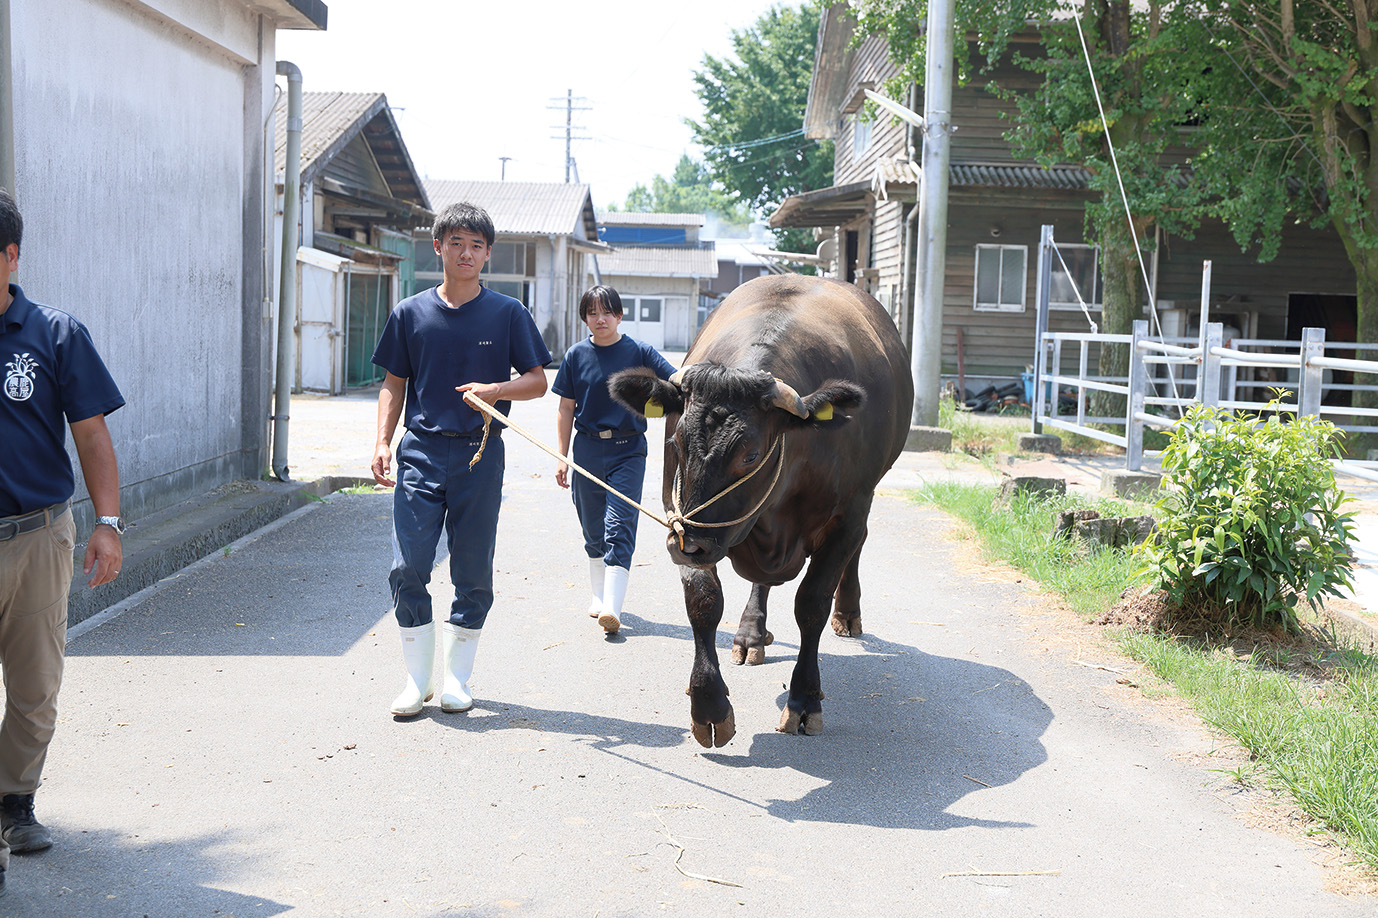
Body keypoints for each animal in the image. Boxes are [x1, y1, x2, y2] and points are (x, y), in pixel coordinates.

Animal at [611, 272, 914, 744]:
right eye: (676, 442)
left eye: (750, 455)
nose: (689, 545)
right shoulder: (679, 515)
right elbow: (702, 600)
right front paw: (708, 703)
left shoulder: (849, 512)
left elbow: (811, 603)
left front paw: (805, 699)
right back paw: (750, 634)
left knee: (856, 551)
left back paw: (848, 612)